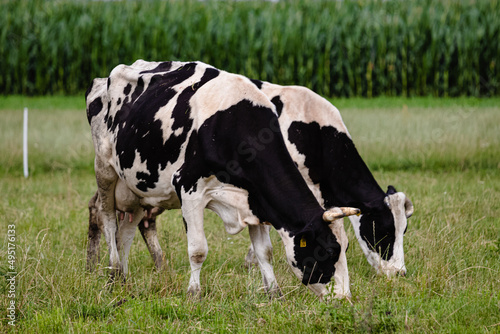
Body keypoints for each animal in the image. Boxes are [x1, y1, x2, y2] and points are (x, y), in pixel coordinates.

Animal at [94, 64, 414, 276]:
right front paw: (252, 263)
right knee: (102, 212)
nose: (399, 273)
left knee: (135, 220)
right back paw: (103, 265)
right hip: (110, 171)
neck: (313, 129)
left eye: (405, 231)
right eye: (385, 229)